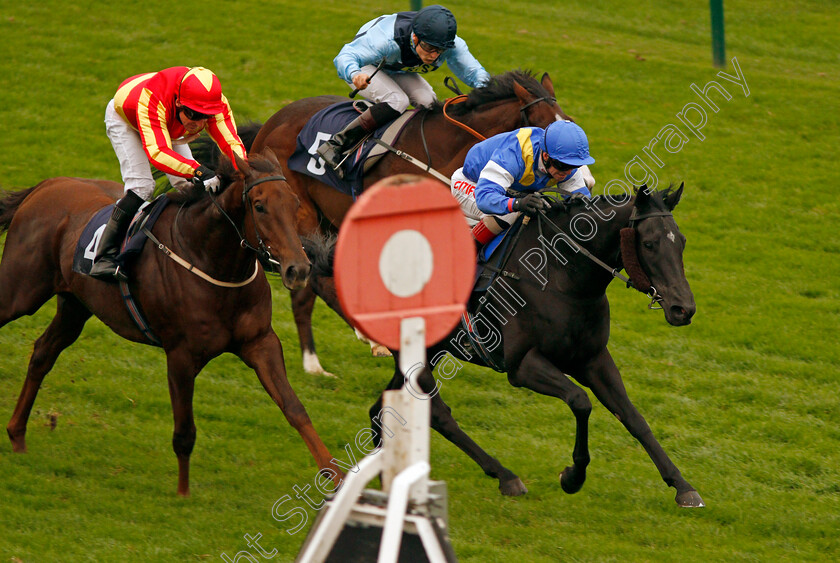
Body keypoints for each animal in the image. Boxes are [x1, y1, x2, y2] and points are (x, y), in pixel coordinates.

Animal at [0, 151, 342, 498]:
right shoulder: (181, 355)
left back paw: (17, 435)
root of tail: (47, 184)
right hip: (20, 292)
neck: (209, 259)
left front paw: (337, 478)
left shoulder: (260, 342)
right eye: (259, 206)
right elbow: (184, 432)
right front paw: (183, 494)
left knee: (43, 354)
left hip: (75, 306)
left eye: (294, 203)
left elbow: (294, 408)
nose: (299, 269)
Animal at [248, 71, 584, 378]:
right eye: (545, 124)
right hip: (303, 213)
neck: (441, 153)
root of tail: (273, 121)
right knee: (314, 279)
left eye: (567, 119)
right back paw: (343, 350)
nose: (584, 179)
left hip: (327, 219)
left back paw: (323, 357)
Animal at [306, 186, 704, 512]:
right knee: (437, 412)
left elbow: (633, 418)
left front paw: (682, 486)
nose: (683, 308)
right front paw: (572, 476)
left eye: (682, 241)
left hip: (426, 352)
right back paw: (504, 475)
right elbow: (580, 401)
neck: (562, 278)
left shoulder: (593, 360)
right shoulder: (522, 366)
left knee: (381, 409)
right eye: (649, 243)